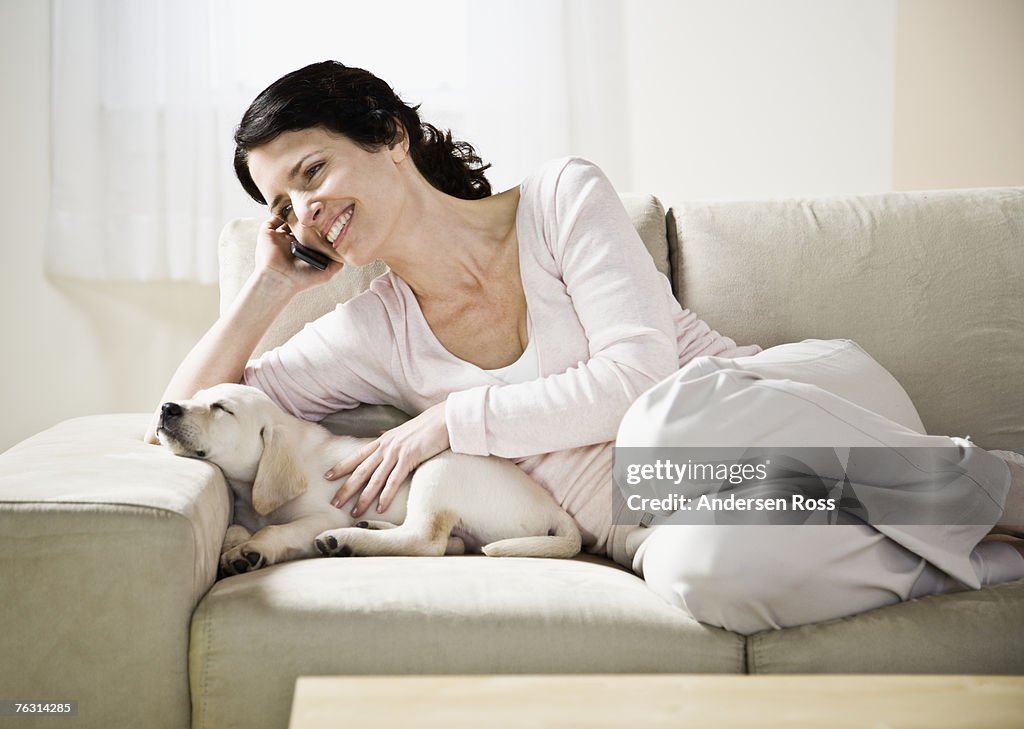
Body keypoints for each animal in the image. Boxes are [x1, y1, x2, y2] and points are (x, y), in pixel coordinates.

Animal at [155, 380, 581, 573]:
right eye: (197, 396)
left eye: (221, 408)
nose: (167, 407)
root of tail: (555, 511)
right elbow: (237, 527)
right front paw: (239, 545)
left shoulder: (325, 513)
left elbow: (277, 529)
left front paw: (252, 550)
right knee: (451, 543)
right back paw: (368, 529)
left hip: (441, 465)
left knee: (425, 541)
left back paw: (345, 540)